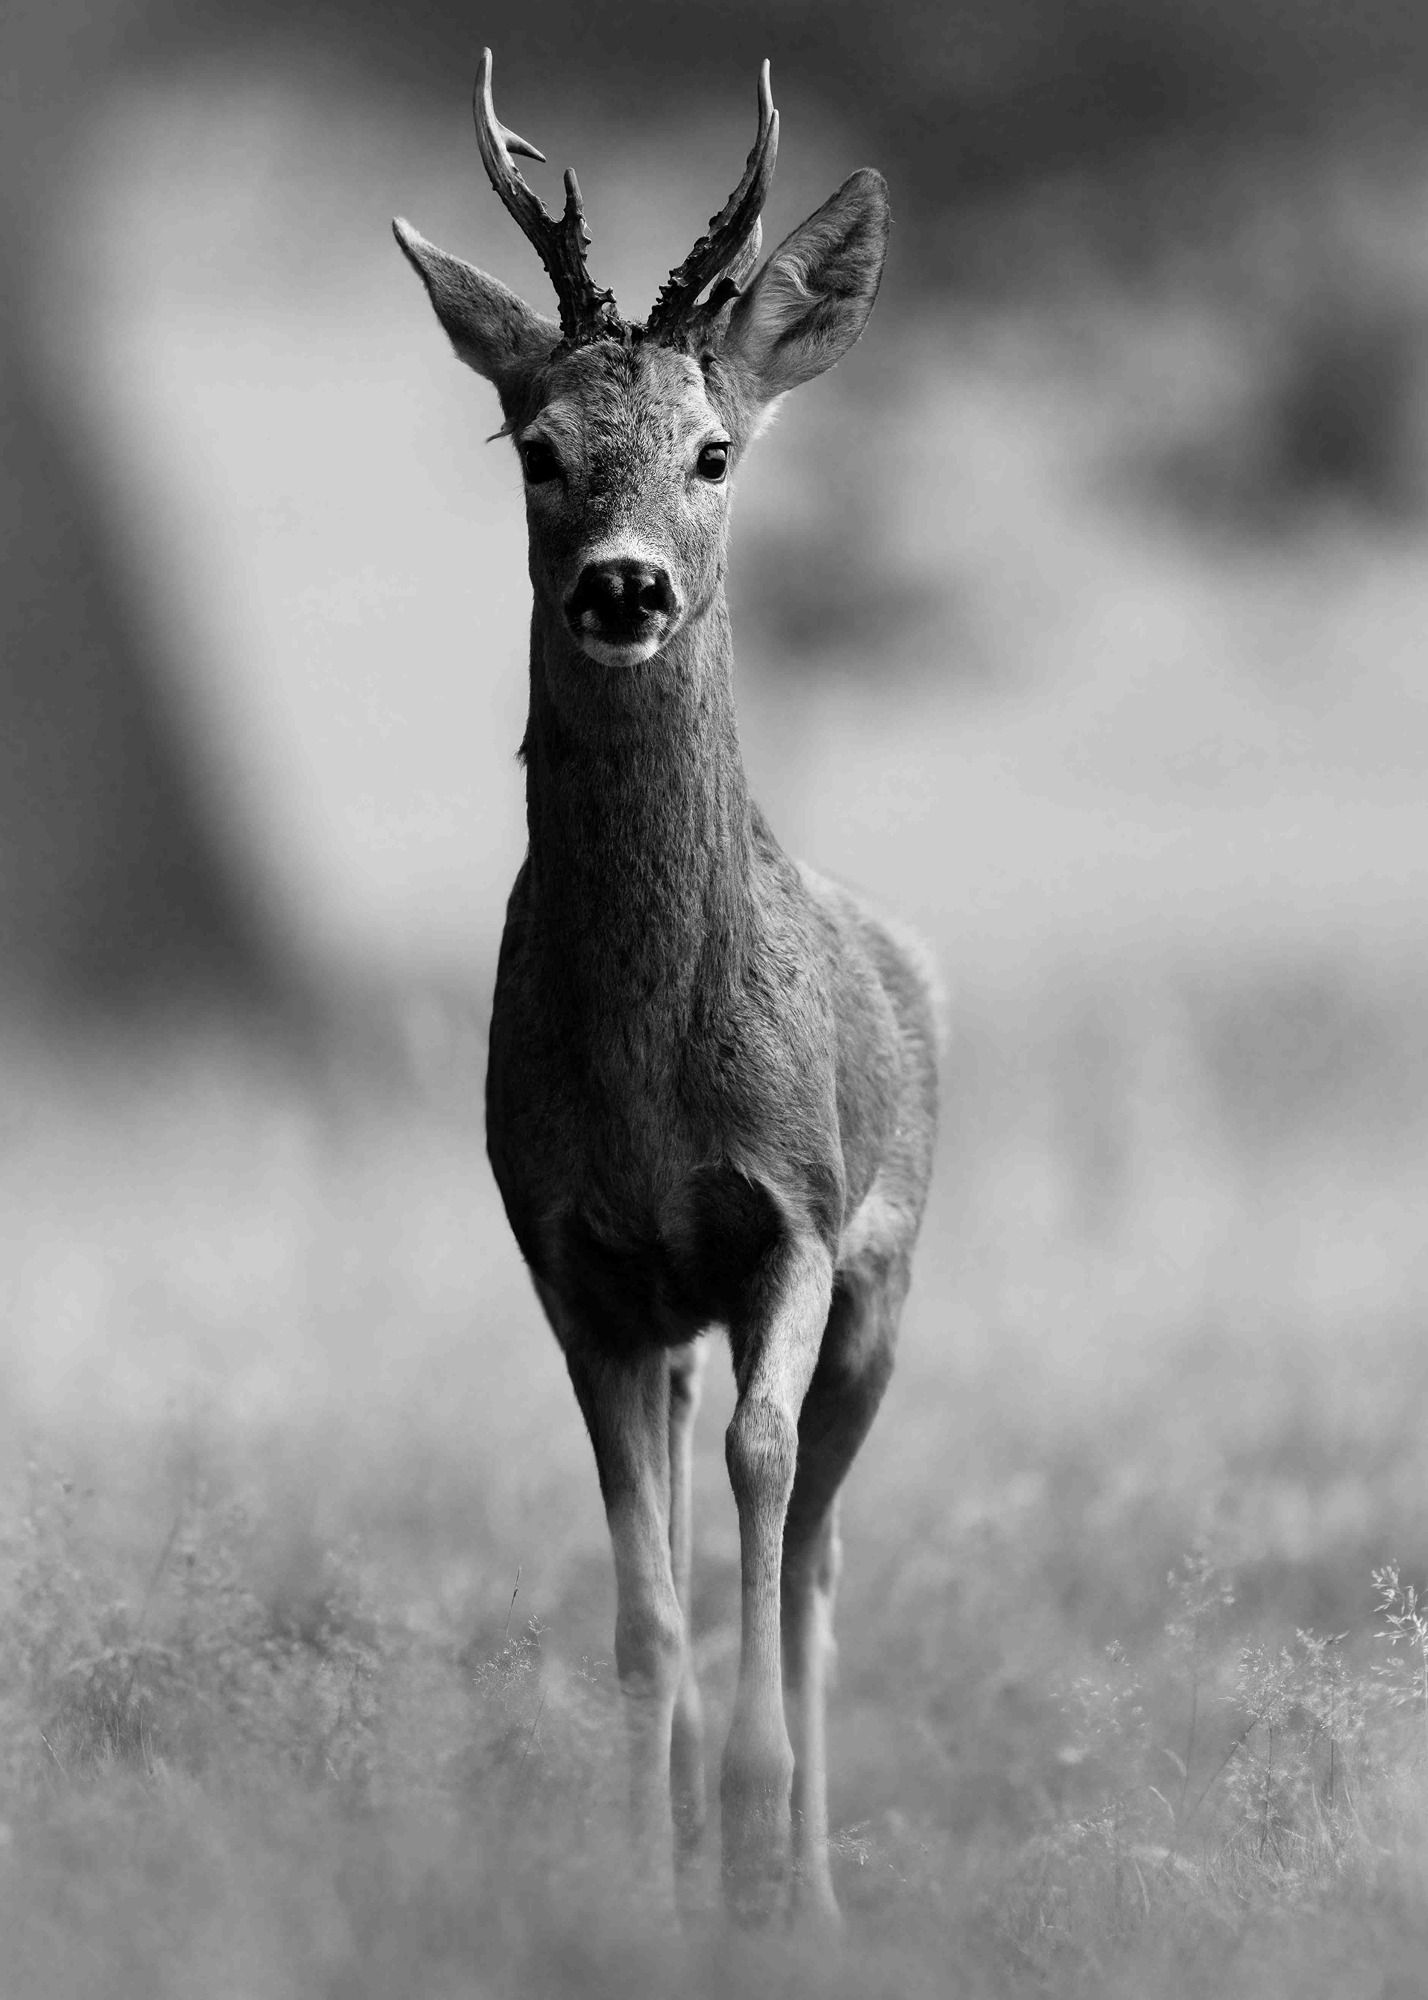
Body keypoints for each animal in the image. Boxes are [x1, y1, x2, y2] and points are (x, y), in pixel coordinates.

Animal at [393, 52, 939, 1925]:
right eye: (538, 447)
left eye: (713, 450)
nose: (623, 584)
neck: (646, 1087)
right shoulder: (574, 1254)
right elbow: (639, 1596)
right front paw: (643, 1890)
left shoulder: (793, 1220)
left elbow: (762, 1501)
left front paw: (769, 1865)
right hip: (683, 1315)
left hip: (887, 1283)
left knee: (818, 1566)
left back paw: (812, 1883)